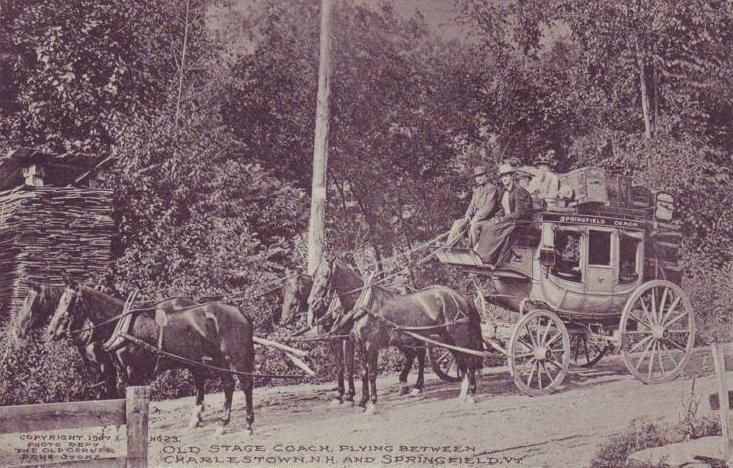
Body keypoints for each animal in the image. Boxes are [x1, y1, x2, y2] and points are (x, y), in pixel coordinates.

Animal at [45, 278, 258, 436]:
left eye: (67, 301)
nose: (51, 331)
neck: (123, 325)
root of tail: (240, 312)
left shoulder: (131, 371)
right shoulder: (116, 369)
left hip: (236, 358)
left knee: (246, 385)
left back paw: (248, 424)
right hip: (217, 360)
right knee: (227, 385)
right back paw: (221, 423)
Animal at [304, 258, 432, 408]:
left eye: (325, 275)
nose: (311, 301)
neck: (360, 303)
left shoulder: (362, 342)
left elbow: (361, 370)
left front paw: (362, 399)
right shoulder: (350, 341)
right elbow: (354, 370)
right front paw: (356, 399)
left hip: (416, 337)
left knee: (421, 355)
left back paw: (417, 387)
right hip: (402, 339)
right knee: (412, 355)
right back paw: (404, 385)